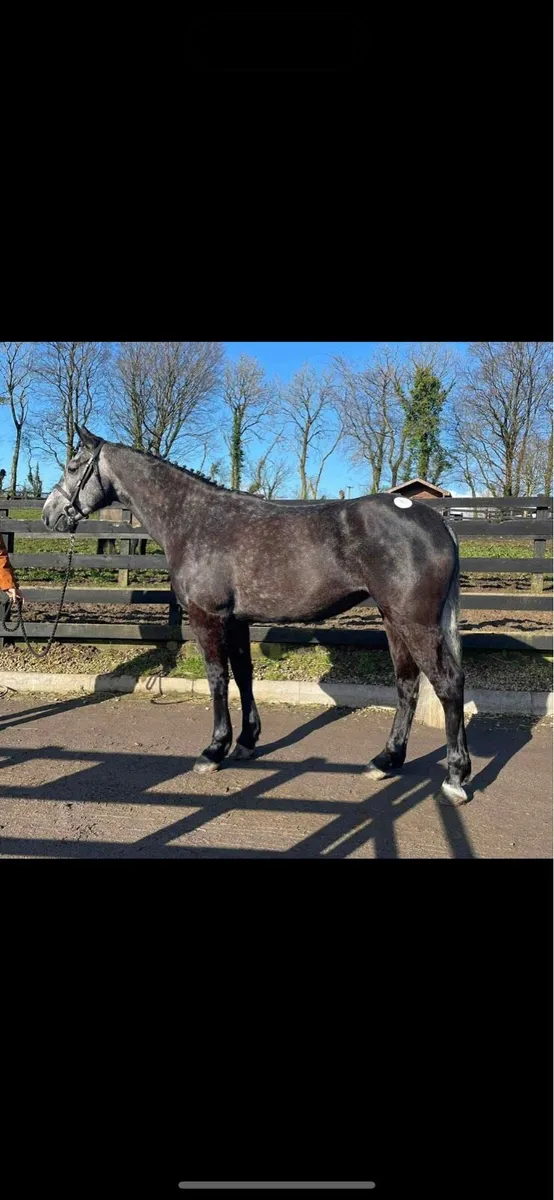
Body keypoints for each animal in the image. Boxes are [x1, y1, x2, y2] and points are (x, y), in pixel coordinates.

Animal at [42, 426, 471, 805]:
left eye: (73, 466)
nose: (50, 515)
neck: (195, 520)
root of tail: (437, 522)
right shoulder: (238, 620)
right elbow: (244, 675)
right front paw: (246, 742)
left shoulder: (207, 617)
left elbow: (217, 678)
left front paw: (214, 749)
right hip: (393, 620)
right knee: (407, 684)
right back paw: (386, 760)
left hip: (415, 624)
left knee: (447, 684)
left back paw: (454, 778)